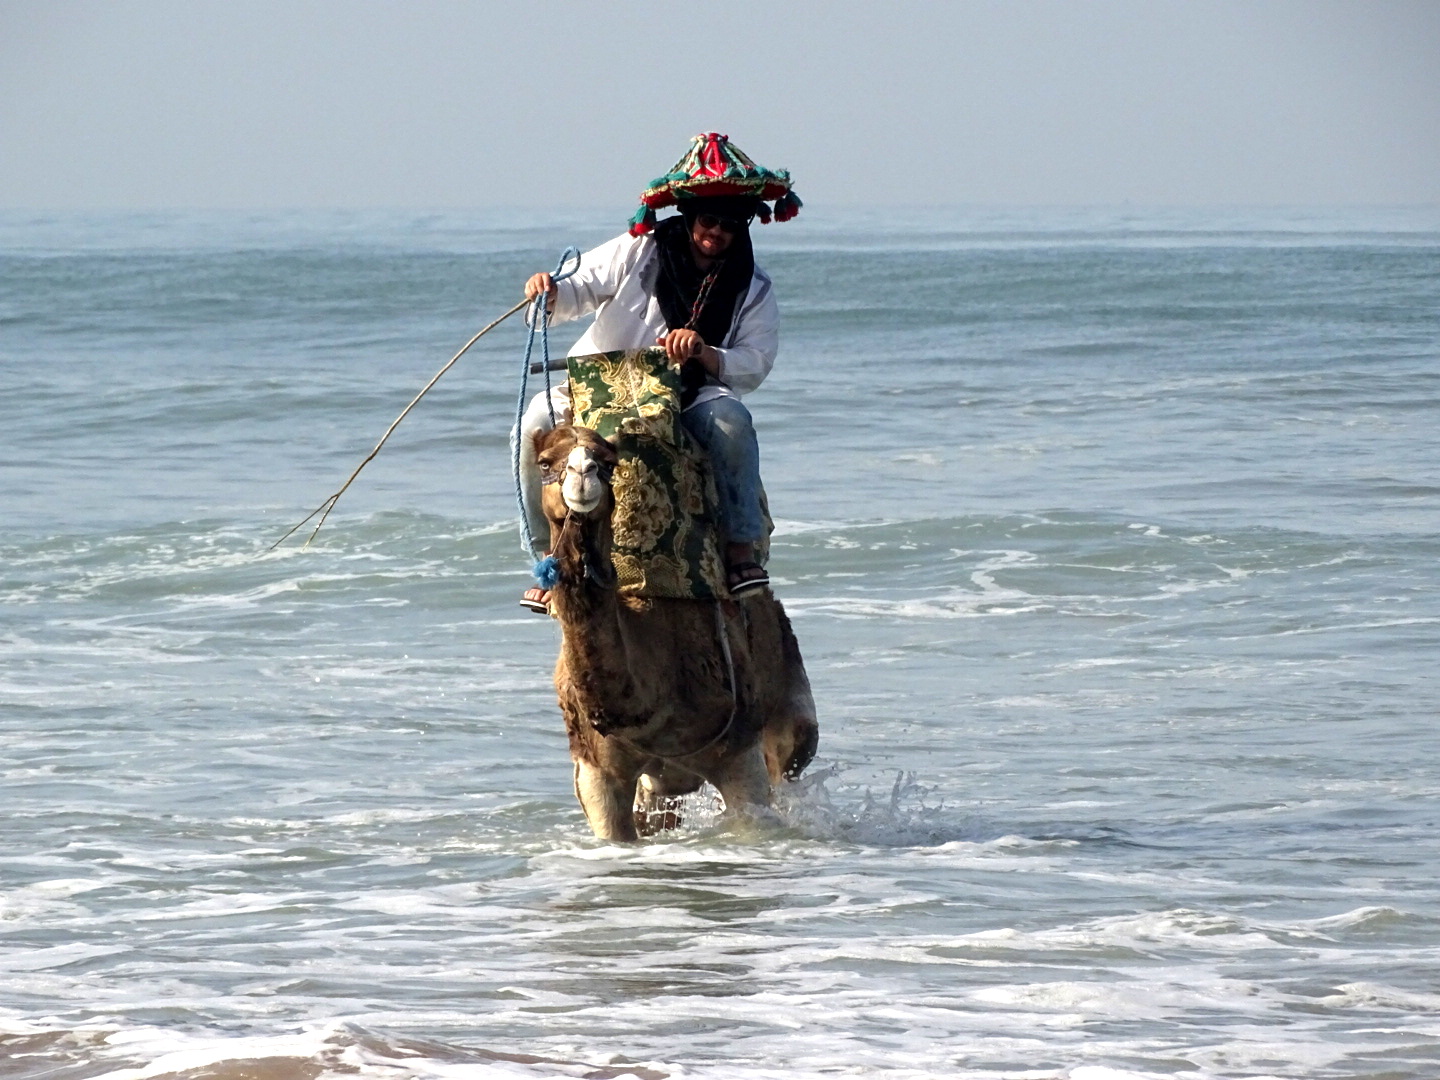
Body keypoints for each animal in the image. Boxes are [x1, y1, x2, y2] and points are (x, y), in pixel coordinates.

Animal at [532, 426, 823, 846]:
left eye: (608, 462)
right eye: (544, 462)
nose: (582, 474)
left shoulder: (739, 754)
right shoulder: (596, 770)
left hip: (793, 711)